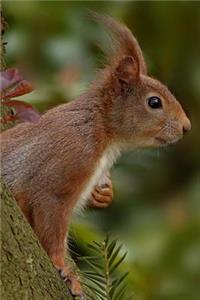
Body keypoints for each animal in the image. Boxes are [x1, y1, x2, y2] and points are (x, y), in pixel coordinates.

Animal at [0, 12, 191, 296]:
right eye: (154, 102)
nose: (186, 127)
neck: (101, 131)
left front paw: (105, 193)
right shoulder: (65, 164)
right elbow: (50, 221)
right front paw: (64, 270)